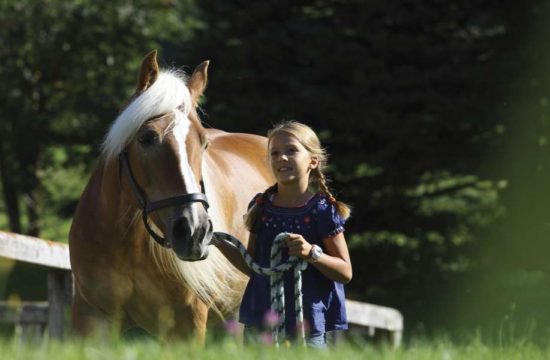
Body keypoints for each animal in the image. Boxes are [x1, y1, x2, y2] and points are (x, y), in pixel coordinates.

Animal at [68, 50, 274, 340]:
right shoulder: (90, 319)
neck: (127, 246)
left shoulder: (185, 326)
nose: (194, 232)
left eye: (204, 142)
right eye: (146, 138)